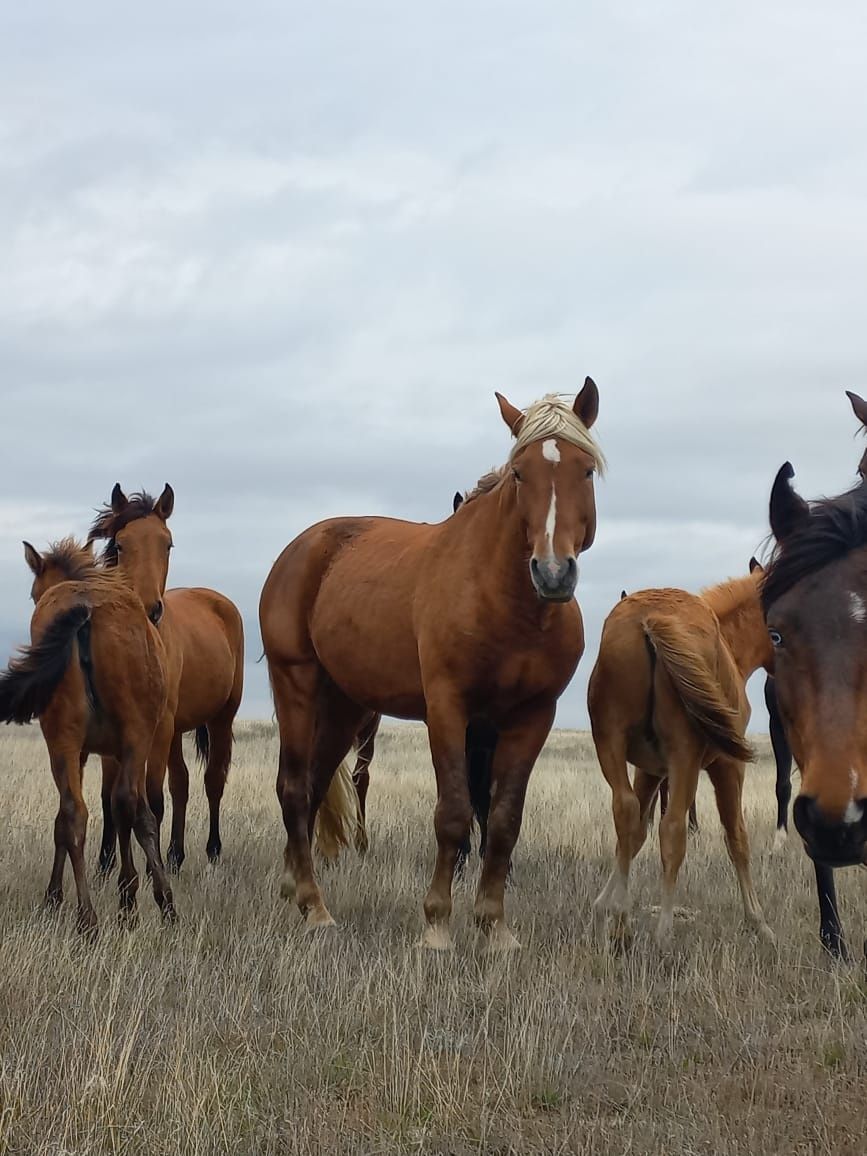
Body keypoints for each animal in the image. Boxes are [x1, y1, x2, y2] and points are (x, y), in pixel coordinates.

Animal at [0, 538, 174, 929]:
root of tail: (85, 607)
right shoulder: (125, 748)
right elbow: (138, 815)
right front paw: (148, 896)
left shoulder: (79, 752)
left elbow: (65, 820)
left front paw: (53, 897)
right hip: (135, 736)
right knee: (125, 803)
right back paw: (126, 905)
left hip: (62, 740)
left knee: (72, 814)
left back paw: (86, 918)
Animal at [89, 483, 245, 869]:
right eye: (120, 544)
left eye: (167, 544)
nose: (149, 609)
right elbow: (109, 798)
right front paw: (104, 864)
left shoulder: (158, 728)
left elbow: (153, 798)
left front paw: (150, 866)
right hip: (176, 729)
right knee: (182, 783)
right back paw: (175, 853)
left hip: (219, 718)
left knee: (212, 780)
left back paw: (211, 850)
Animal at [261, 383, 605, 952]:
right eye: (520, 473)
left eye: (586, 470)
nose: (553, 573)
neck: (506, 604)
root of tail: (300, 548)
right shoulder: (448, 709)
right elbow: (453, 814)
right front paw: (438, 925)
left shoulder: (534, 716)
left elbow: (504, 820)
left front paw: (495, 927)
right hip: (298, 684)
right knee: (291, 788)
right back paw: (316, 909)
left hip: (344, 706)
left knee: (310, 786)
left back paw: (295, 890)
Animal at [596, 564, 776, 943]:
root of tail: (651, 618)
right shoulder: (728, 766)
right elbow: (737, 837)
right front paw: (758, 921)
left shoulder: (649, 770)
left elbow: (635, 834)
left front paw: (607, 905)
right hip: (686, 758)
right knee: (673, 829)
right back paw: (664, 931)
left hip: (610, 743)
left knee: (625, 810)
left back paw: (621, 919)